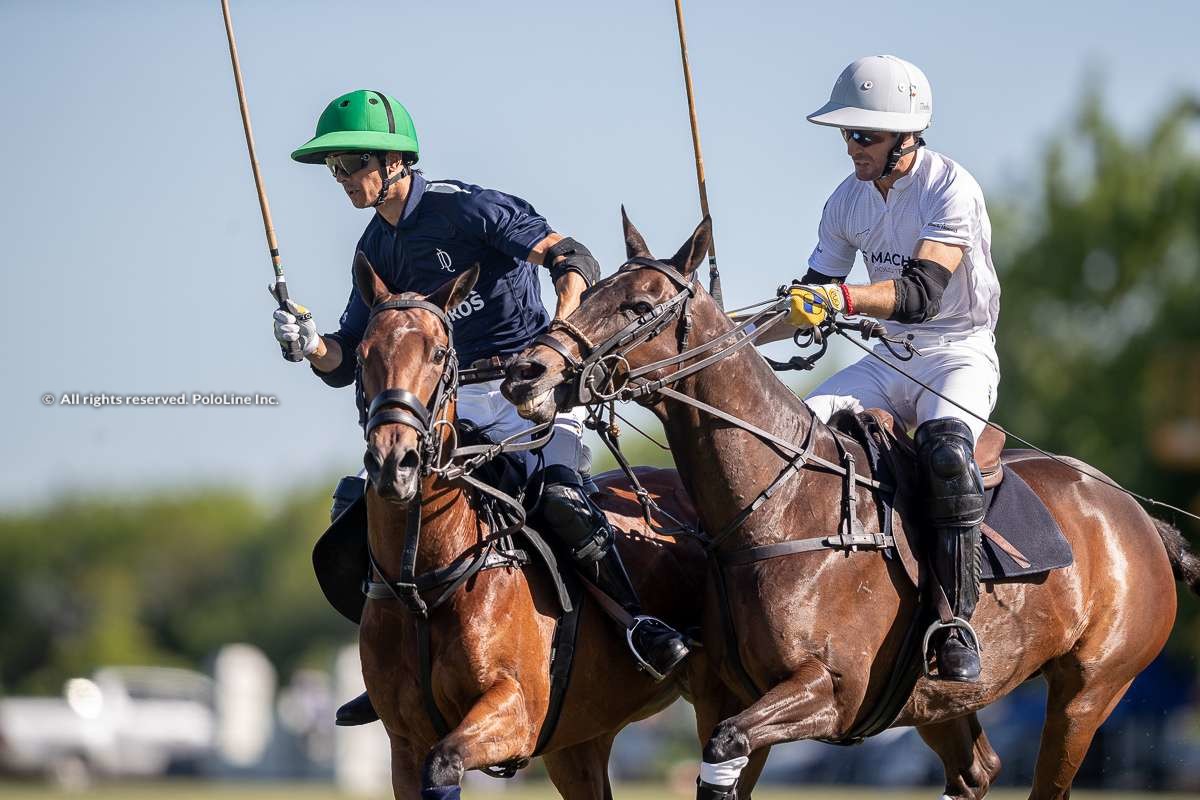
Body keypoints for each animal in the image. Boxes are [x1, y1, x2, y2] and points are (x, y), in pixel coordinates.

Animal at [345, 255, 768, 800]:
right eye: (363, 355)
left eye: (439, 353)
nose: (395, 463)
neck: (423, 580)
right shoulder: (403, 744)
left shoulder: (517, 711)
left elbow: (444, 761)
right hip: (579, 741)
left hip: (725, 697)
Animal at [501, 212, 1200, 800]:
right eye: (589, 291)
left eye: (640, 305)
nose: (525, 373)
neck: (776, 509)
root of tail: (1137, 515)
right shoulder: (729, 692)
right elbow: (721, 762)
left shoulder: (831, 692)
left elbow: (731, 744)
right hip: (936, 699)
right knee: (977, 770)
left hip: (1091, 690)